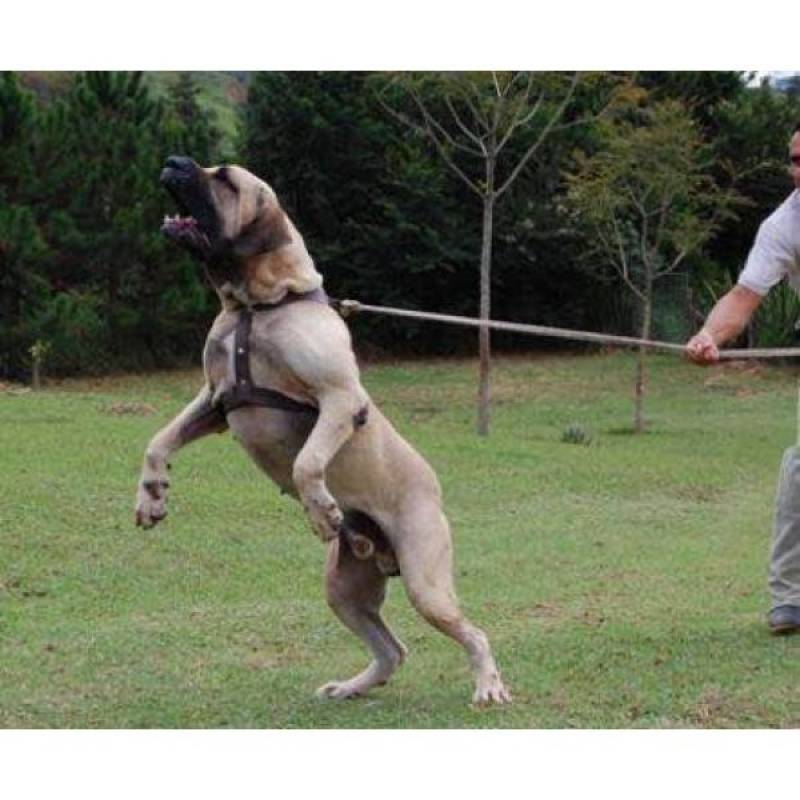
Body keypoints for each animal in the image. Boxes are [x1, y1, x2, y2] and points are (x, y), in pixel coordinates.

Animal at [134, 158, 510, 708]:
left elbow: (307, 461)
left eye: (224, 178)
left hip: (425, 581)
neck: (258, 305)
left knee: (474, 632)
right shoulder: (215, 401)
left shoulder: (339, 397)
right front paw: (153, 495)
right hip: (343, 587)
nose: (174, 162)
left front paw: (320, 510)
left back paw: (487, 684)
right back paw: (352, 685)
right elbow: (160, 439)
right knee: (392, 650)